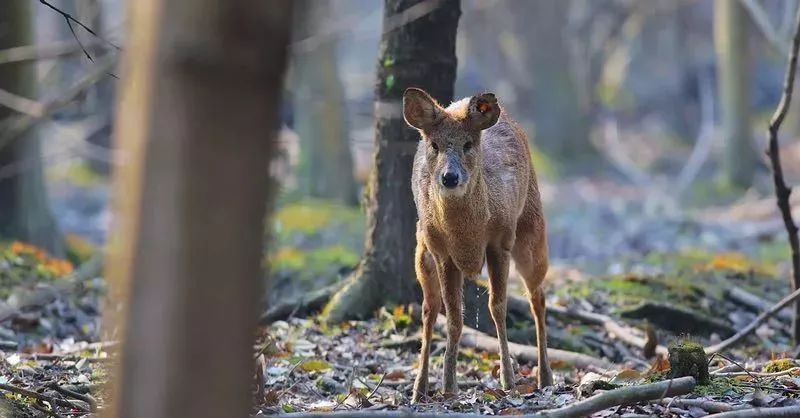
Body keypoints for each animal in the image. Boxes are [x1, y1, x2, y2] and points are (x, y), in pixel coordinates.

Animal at [404, 87, 552, 402]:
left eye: (468, 144)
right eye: (434, 144)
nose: (450, 177)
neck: (467, 235)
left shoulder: (500, 241)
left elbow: (497, 307)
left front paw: (508, 380)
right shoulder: (442, 253)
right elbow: (453, 317)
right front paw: (448, 386)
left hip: (531, 229)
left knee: (538, 297)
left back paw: (545, 376)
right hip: (421, 251)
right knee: (428, 309)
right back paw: (418, 389)